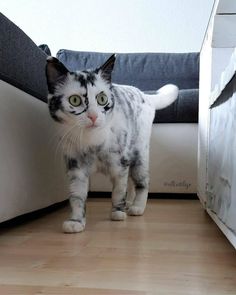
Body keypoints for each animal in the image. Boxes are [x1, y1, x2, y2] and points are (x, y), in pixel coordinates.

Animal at [45, 53, 178, 234]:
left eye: (102, 99)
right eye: (75, 100)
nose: (93, 116)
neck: (92, 142)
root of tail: (143, 93)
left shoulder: (119, 166)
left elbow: (118, 191)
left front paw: (117, 213)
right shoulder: (76, 168)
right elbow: (77, 196)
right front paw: (76, 221)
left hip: (139, 153)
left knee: (142, 181)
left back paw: (137, 207)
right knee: (131, 183)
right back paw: (129, 203)